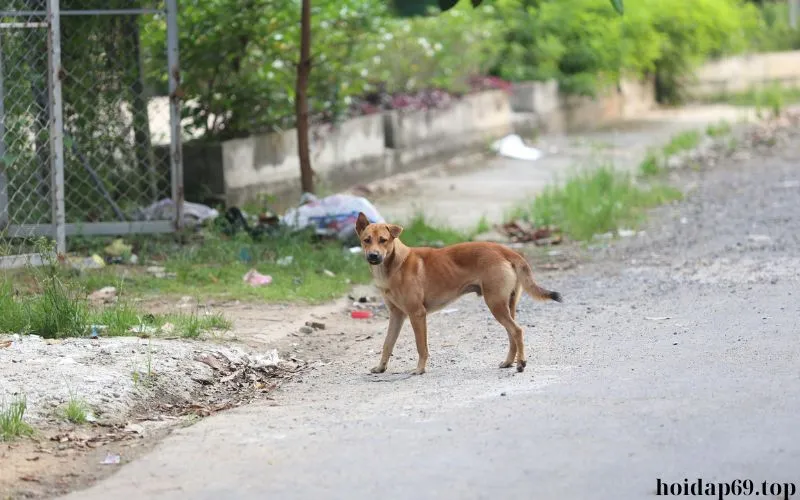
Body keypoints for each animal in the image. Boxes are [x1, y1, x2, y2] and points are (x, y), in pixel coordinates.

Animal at [356, 211, 564, 376]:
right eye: (366, 240)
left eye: (383, 240)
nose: (373, 256)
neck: (394, 265)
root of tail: (505, 250)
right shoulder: (396, 315)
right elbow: (387, 344)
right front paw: (381, 367)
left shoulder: (417, 314)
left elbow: (421, 346)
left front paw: (420, 369)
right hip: (506, 304)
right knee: (512, 334)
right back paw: (509, 362)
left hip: (495, 304)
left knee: (517, 331)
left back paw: (520, 363)